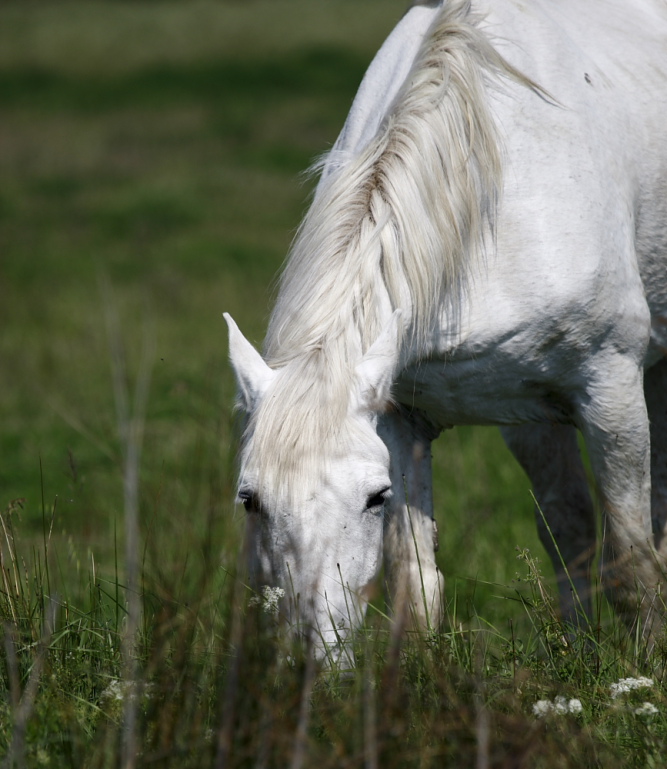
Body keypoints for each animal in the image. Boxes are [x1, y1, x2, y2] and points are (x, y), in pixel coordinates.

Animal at [225, 0, 667, 662]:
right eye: (251, 500)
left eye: (372, 497)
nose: (310, 656)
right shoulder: (404, 418)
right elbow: (419, 584)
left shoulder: (610, 386)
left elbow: (634, 565)